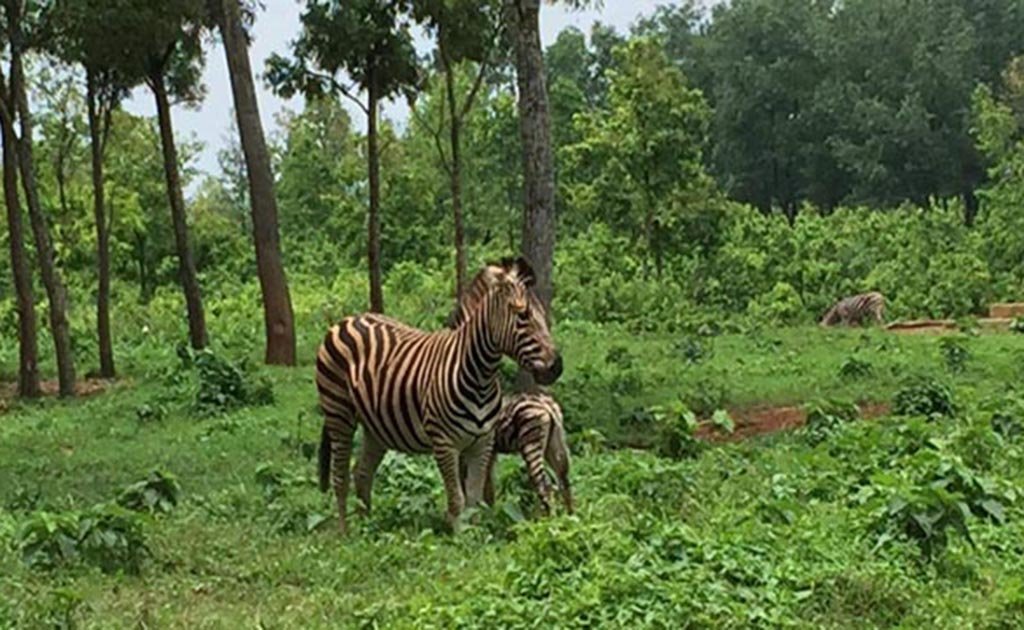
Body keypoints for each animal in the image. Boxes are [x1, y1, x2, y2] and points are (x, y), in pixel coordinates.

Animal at [317, 259, 565, 536]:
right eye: (523, 316)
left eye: (543, 315)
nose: (557, 367)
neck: (479, 376)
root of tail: (349, 319)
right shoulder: (445, 443)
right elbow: (457, 498)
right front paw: (459, 537)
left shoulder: (482, 443)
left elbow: (474, 497)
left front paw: (477, 534)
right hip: (338, 412)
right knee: (340, 475)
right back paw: (345, 532)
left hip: (376, 426)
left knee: (361, 472)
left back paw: (367, 526)